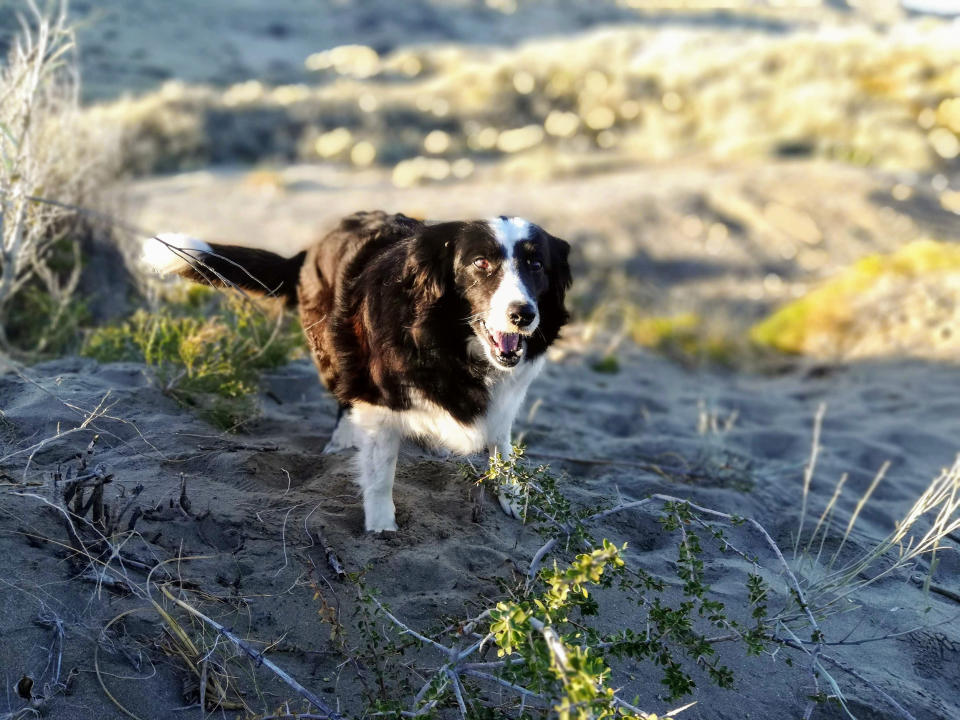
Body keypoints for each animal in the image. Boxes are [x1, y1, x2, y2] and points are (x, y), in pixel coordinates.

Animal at [142, 211, 568, 532]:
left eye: (536, 265)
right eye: (481, 263)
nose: (523, 315)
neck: (449, 342)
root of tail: (314, 245)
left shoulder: (504, 398)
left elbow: (502, 445)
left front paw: (512, 495)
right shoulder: (378, 397)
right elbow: (380, 473)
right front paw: (381, 530)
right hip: (332, 349)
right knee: (344, 396)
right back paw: (341, 440)